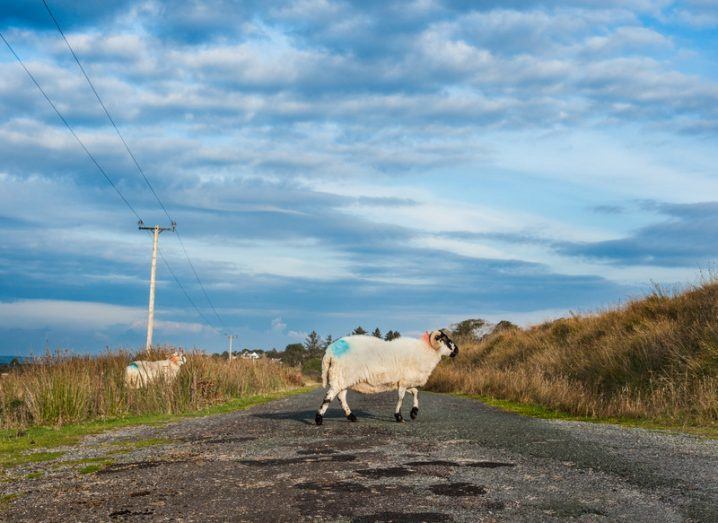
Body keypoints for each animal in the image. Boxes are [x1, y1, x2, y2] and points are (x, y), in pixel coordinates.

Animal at [316, 332, 462, 426]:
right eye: (446, 340)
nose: (457, 351)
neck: (426, 351)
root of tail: (330, 351)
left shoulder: (403, 382)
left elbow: (416, 392)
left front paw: (414, 413)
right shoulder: (404, 382)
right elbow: (401, 398)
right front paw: (399, 417)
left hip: (343, 379)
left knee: (341, 397)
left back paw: (351, 417)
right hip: (340, 377)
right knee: (329, 397)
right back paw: (319, 419)